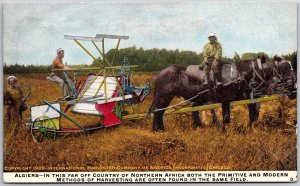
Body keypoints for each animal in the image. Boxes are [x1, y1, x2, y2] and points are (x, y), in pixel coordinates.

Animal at [149, 56, 296, 131]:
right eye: (285, 67)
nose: (294, 90)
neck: (241, 75)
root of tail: (160, 73)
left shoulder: (249, 98)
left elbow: (253, 115)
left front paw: (251, 128)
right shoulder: (226, 100)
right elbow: (227, 118)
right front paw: (226, 131)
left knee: (160, 112)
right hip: (163, 97)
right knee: (158, 112)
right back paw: (158, 129)